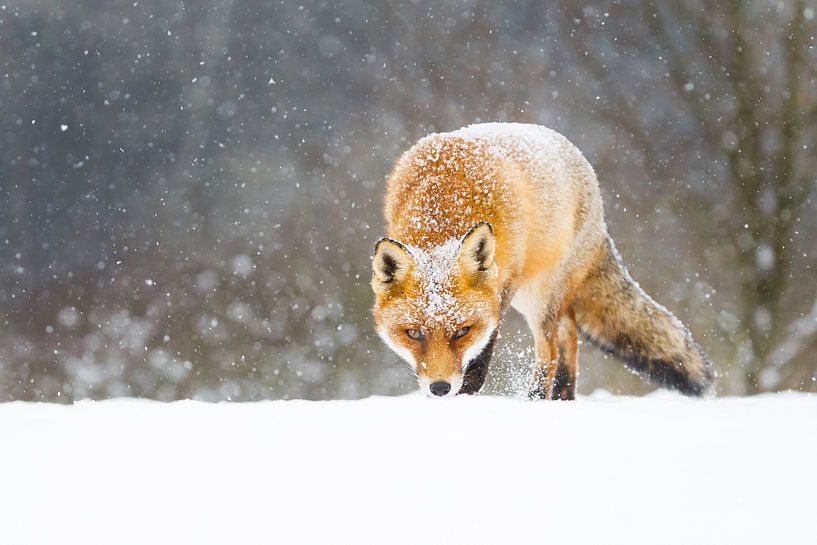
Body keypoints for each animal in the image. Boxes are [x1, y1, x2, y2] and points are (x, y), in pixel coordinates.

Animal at [370, 121, 708, 398]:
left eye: (463, 331)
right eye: (414, 334)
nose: (439, 388)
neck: (445, 200)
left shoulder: (506, 282)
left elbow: (484, 350)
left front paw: (468, 392)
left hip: (539, 294)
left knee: (551, 352)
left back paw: (536, 399)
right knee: (568, 332)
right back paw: (564, 398)